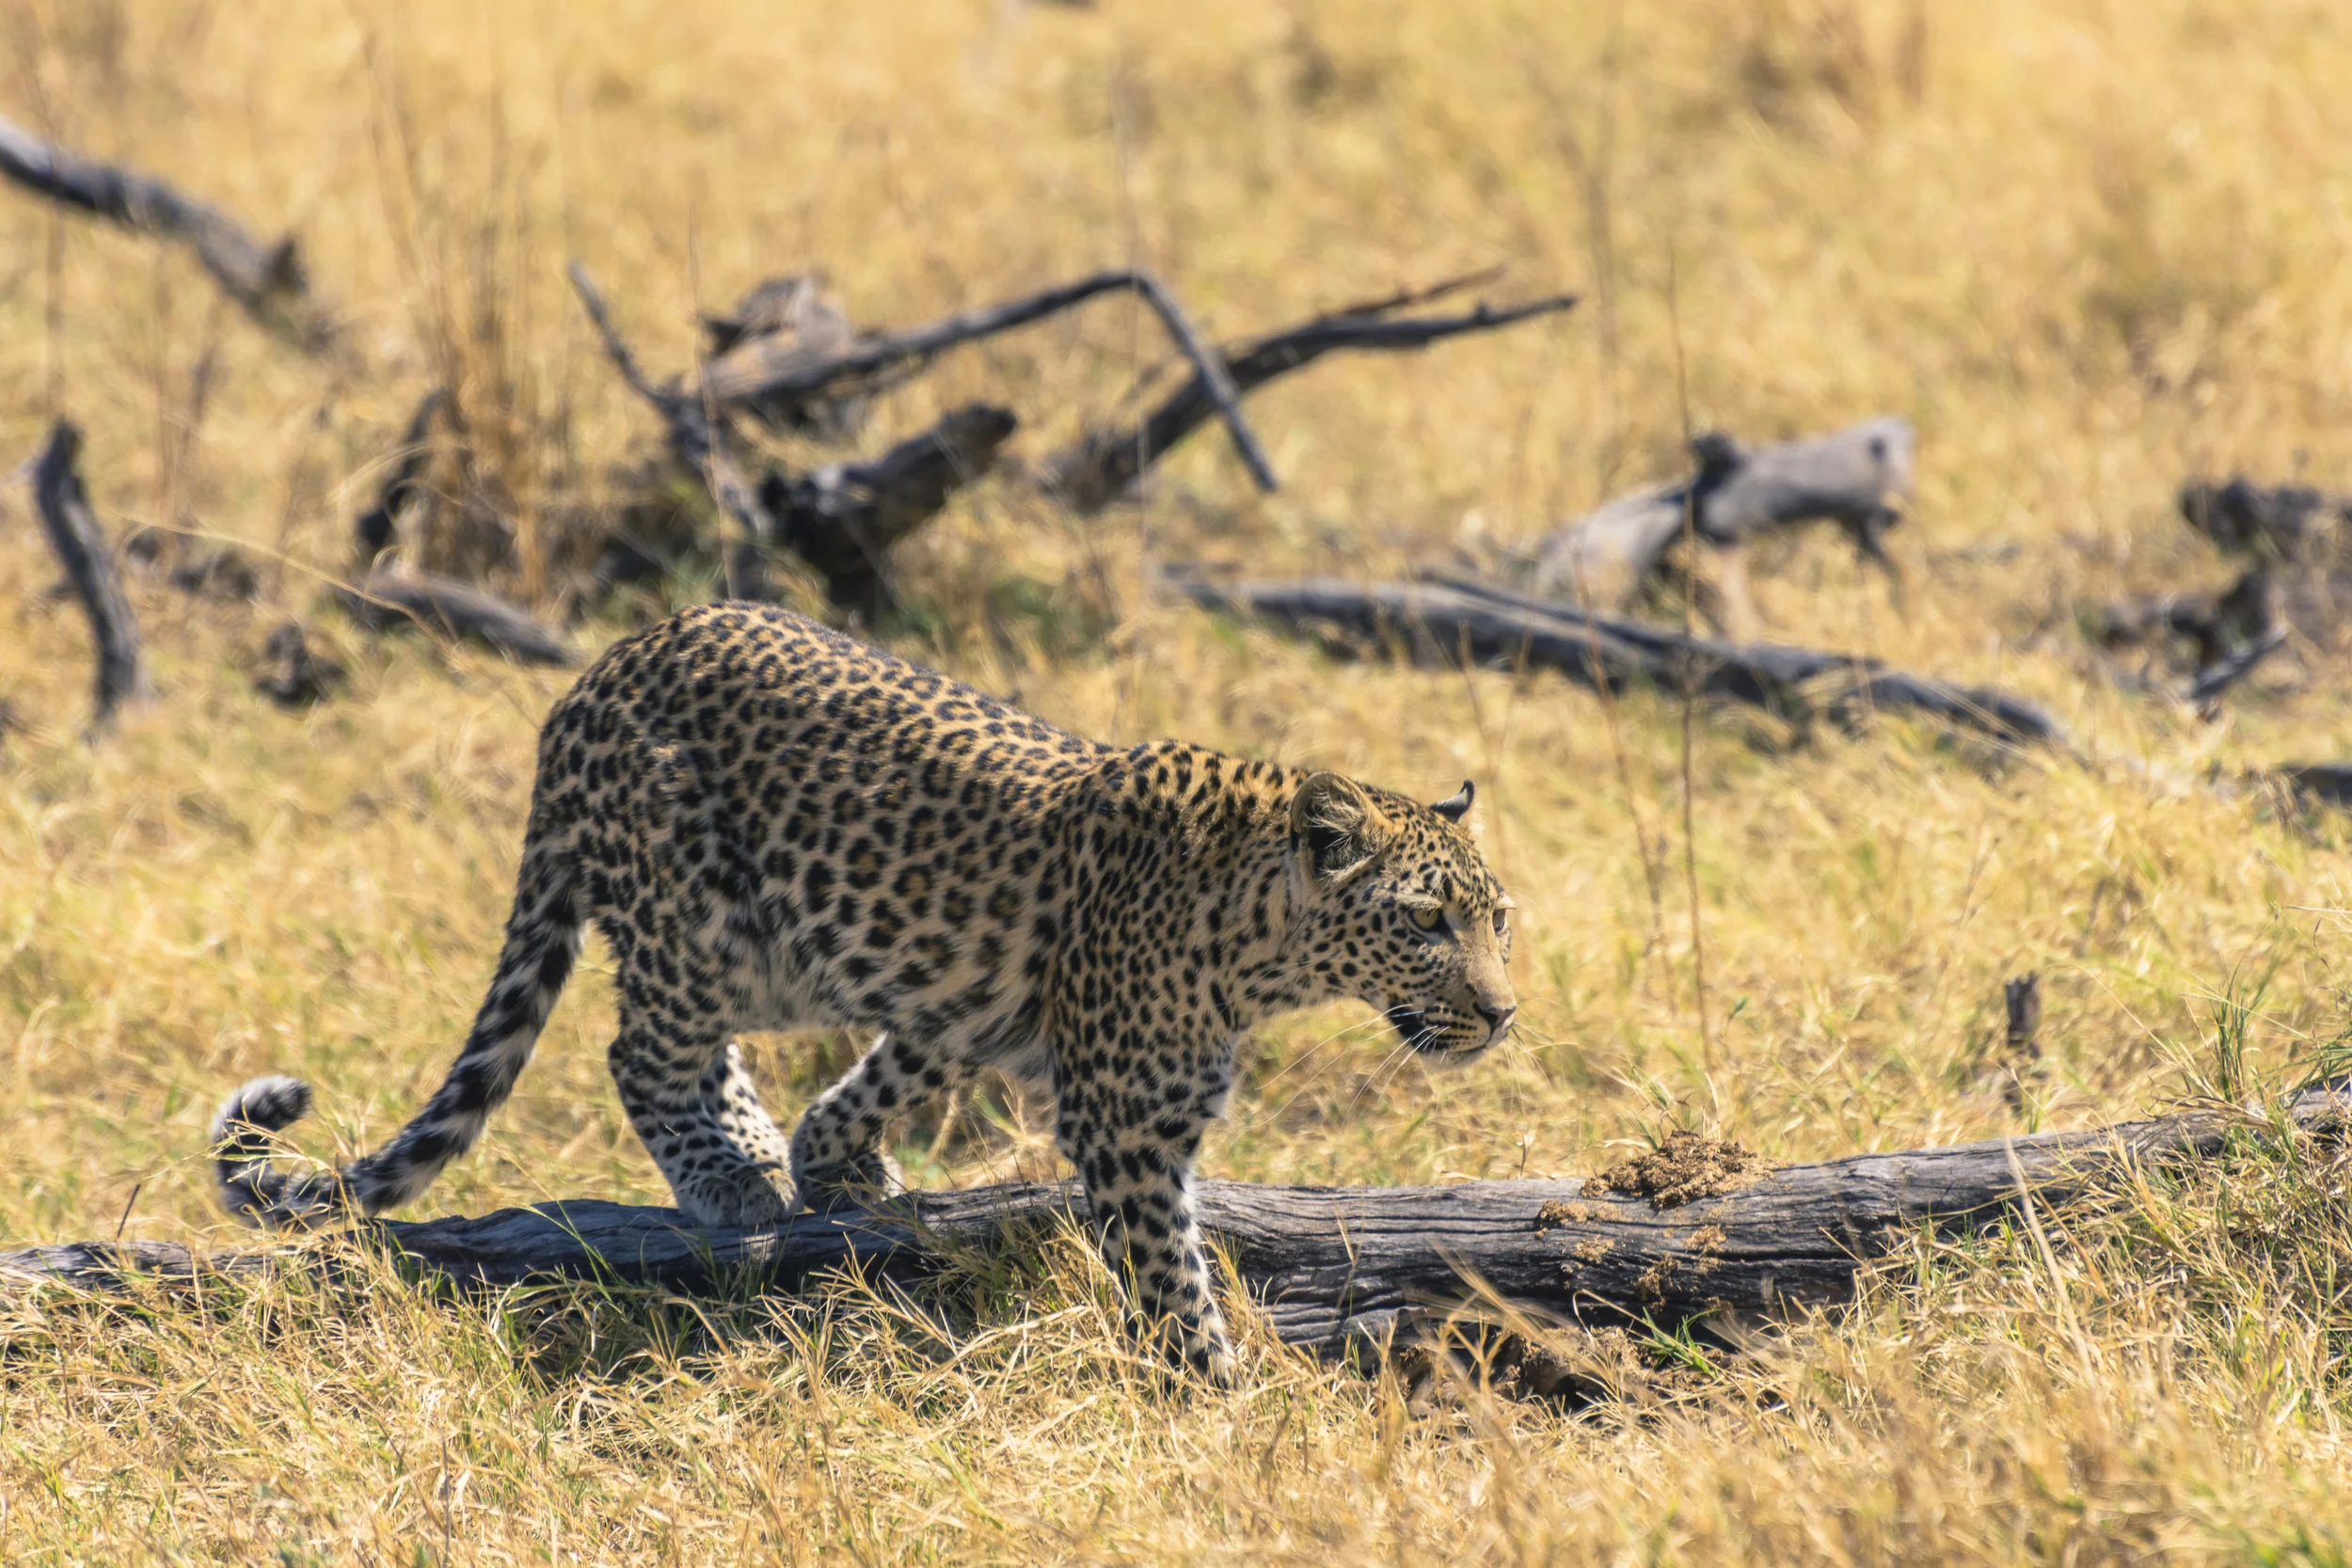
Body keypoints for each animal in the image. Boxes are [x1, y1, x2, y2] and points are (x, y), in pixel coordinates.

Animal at [211, 601, 1517, 1379]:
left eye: (1498, 917)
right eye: (1423, 923)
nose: (1503, 1012)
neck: (1257, 941)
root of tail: (596, 671)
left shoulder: (967, 992)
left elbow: (889, 1065)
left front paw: (838, 1161)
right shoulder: (1127, 1123)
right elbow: (1170, 1273)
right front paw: (1212, 1399)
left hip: (788, 946)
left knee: (701, 1050)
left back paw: (758, 1155)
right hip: (705, 922)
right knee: (638, 1046)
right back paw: (729, 1180)